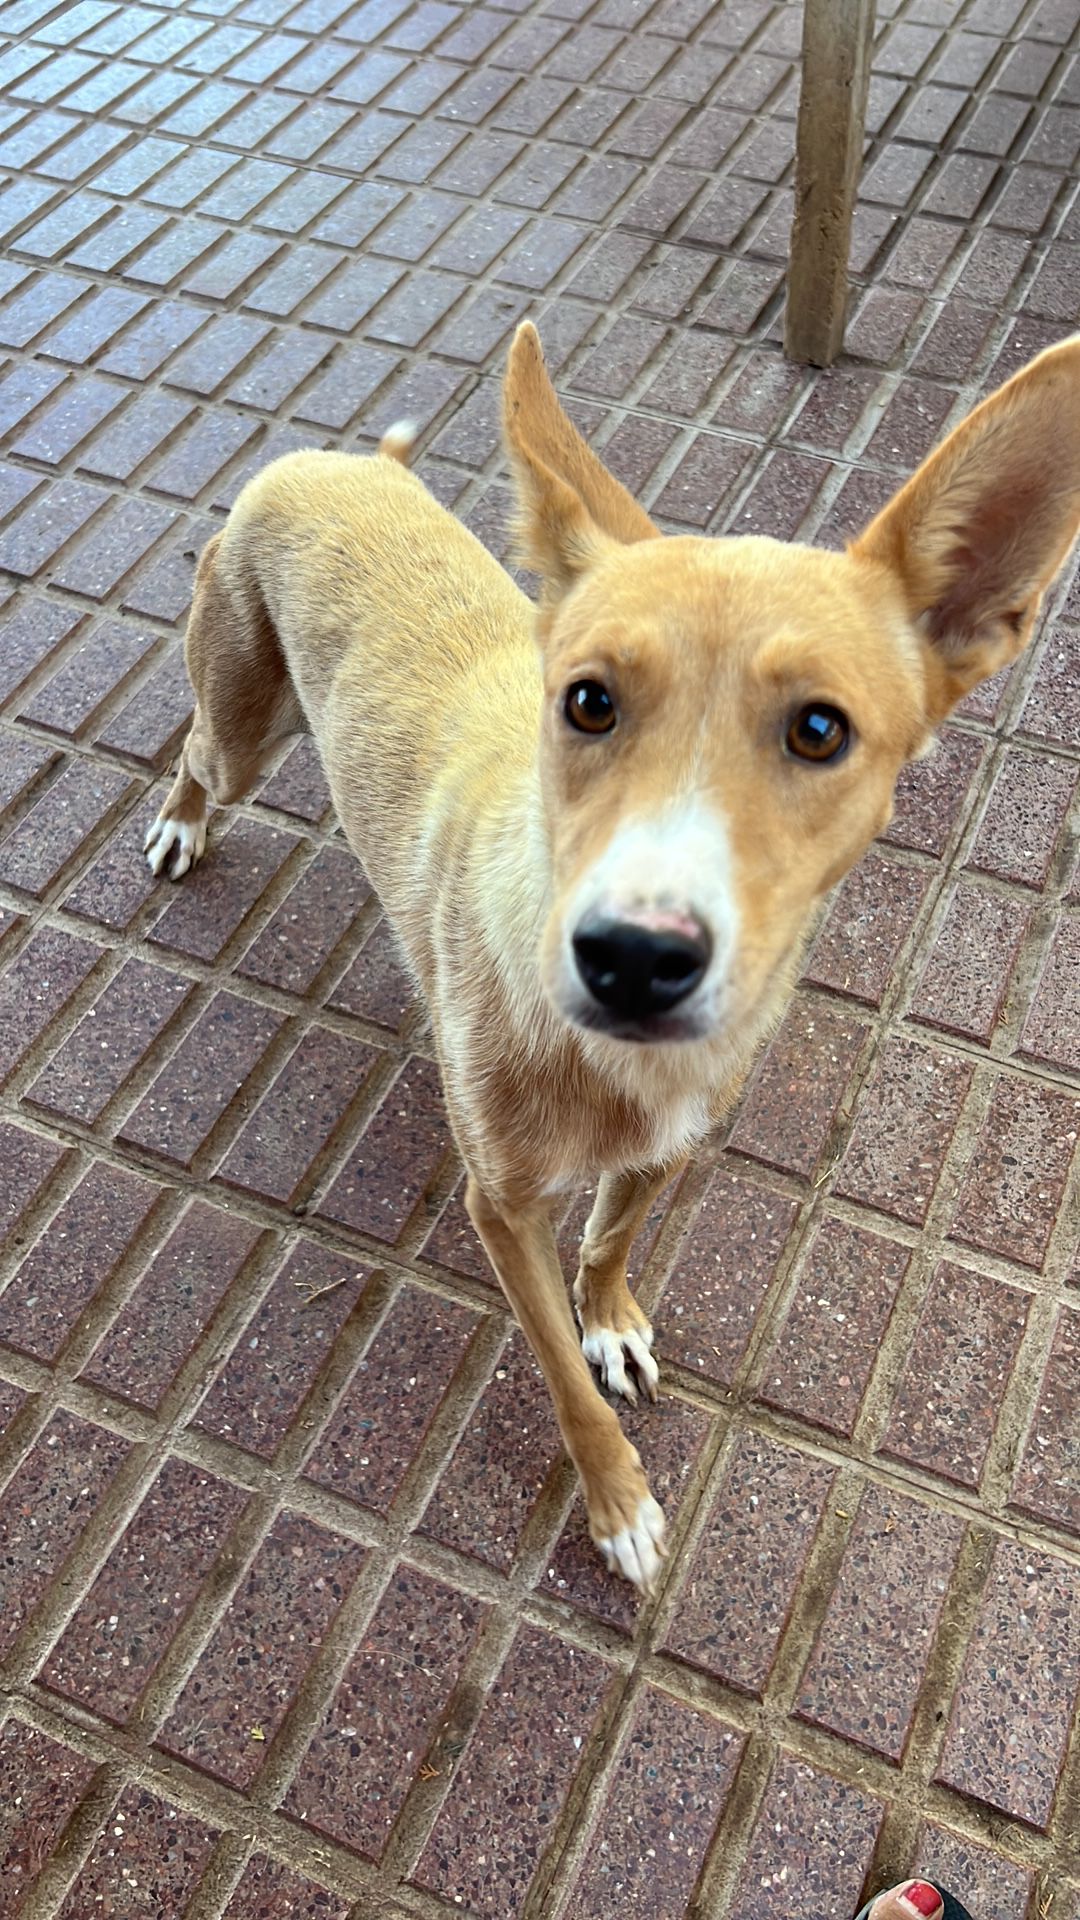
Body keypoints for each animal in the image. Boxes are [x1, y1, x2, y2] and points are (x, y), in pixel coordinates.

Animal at [146, 324, 1080, 1592]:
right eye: (587, 701)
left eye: (821, 729)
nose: (632, 958)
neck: (621, 1073)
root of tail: (333, 463)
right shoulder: (500, 1207)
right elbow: (562, 1382)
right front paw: (616, 1500)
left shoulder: (670, 1142)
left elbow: (613, 1241)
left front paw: (613, 1317)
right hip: (241, 720)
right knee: (197, 751)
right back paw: (181, 824)